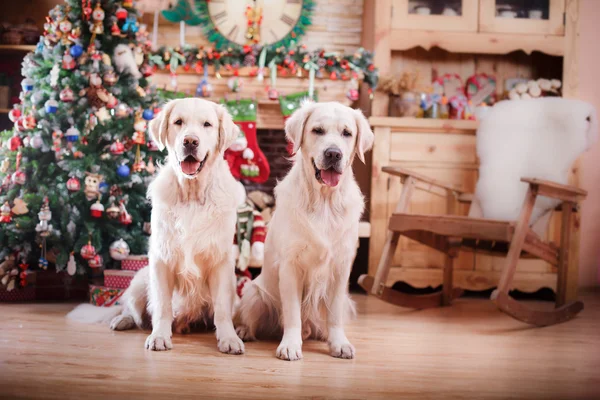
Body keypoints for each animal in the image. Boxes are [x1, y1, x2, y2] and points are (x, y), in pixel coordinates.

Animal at [109, 98, 245, 354]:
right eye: (178, 122)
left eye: (207, 124)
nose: (190, 141)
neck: (192, 194)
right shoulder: (161, 259)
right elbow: (162, 306)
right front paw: (159, 336)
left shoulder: (220, 262)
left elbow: (222, 309)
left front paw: (229, 338)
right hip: (140, 279)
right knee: (132, 309)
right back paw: (122, 320)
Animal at [233, 101, 370, 360]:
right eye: (317, 130)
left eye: (347, 133)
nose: (333, 153)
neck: (324, 200)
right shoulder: (290, 266)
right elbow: (293, 313)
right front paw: (290, 345)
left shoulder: (341, 268)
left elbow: (334, 314)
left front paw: (339, 343)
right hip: (255, 293)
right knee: (252, 317)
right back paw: (243, 331)